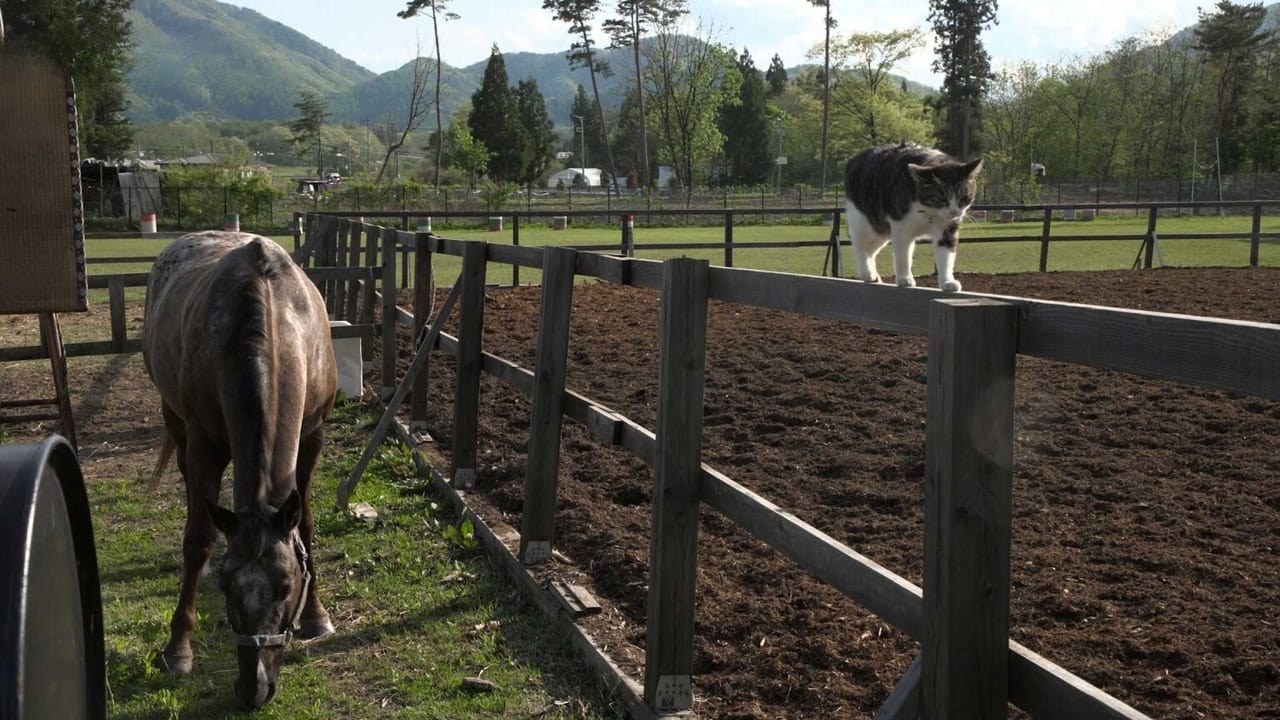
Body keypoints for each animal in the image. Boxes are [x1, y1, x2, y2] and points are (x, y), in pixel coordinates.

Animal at [142, 230, 337, 707]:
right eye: (228, 587)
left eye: (287, 586)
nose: (255, 689)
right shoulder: (204, 443)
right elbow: (197, 539)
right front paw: (178, 648)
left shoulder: (313, 436)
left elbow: (305, 524)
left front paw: (317, 615)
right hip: (176, 421)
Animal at [844, 141, 983, 289]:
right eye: (942, 199)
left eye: (964, 197)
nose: (955, 212)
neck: (929, 210)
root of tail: (853, 159)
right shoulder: (900, 227)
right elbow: (902, 256)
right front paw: (905, 279)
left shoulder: (947, 229)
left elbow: (946, 256)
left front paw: (947, 281)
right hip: (866, 221)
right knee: (860, 244)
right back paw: (867, 272)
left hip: (881, 230)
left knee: (871, 249)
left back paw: (874, 275)